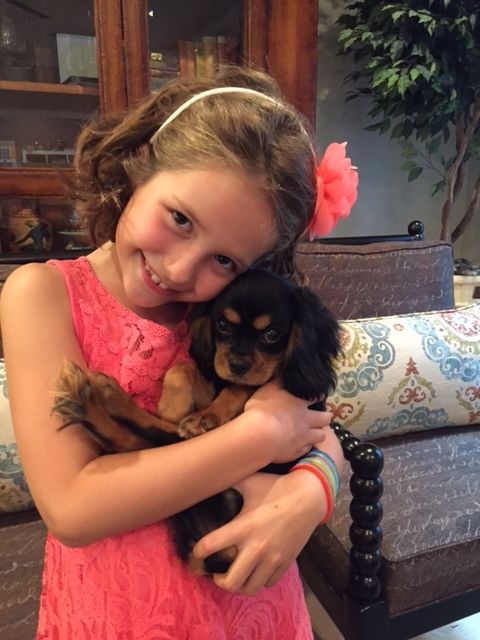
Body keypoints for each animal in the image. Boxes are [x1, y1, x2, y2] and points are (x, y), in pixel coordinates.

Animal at [54, 268, 341, 574]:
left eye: (272, 334)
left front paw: (204, 416)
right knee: (139, 438)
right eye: (223, 326)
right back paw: (105, 397)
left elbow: (237, 389)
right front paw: (172, 405)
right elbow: (184, 368)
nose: (237, 365)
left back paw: (94, 401)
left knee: (140, 437)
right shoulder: (214, 373)